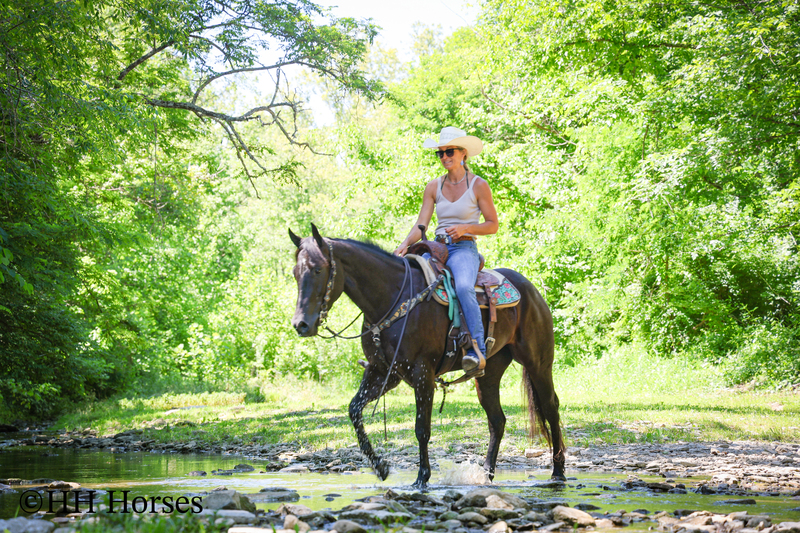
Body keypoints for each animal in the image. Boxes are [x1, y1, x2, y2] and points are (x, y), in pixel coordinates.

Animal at [289, 224, 566, 488]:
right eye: (295, 273)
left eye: (317, 270)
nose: (301, 325)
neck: (392, 299)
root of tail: (531, 290)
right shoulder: (383, 372)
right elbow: (354, 410)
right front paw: (381, 467)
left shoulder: (423, 373)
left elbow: (422, 428)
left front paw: (422, 478)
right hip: (488, 374)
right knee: (497, 420)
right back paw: (486, 475)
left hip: (538, 364)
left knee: (550, 407)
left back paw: (558, 471)